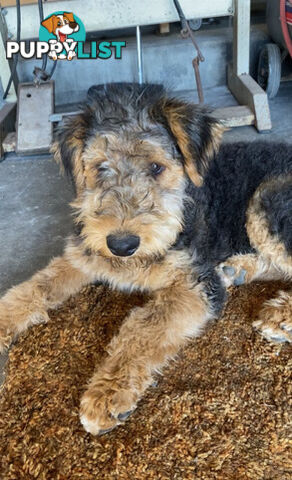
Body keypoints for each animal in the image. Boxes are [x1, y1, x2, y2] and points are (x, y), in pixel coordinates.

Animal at [0, 83, 290, 436]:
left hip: (268, 200)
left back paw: (280, 315)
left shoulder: (194, 285)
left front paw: (106, 395)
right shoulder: (82, 255)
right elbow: (33, 287)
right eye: (100, 167)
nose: (121, 245)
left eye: (155, 167)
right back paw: (238, 269)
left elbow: (143, 330)